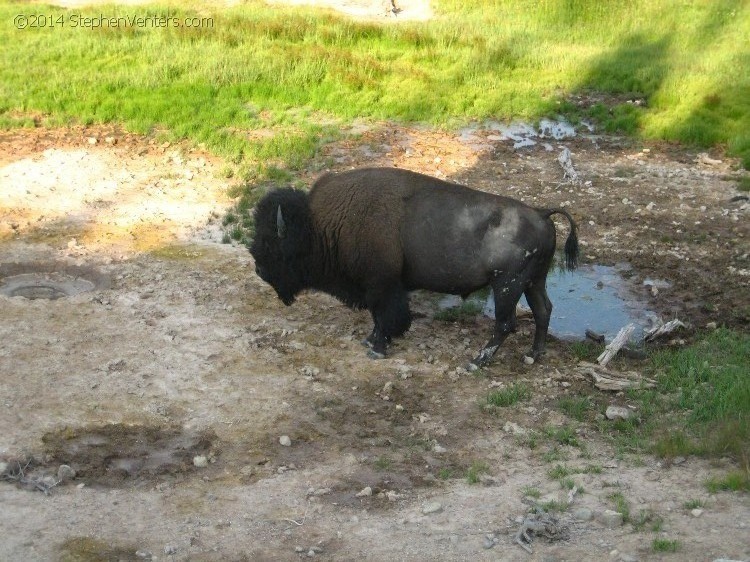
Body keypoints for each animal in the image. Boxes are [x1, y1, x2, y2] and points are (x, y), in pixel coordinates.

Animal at [250, 166, 580, 368]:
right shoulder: (379, 287)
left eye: (272, 243)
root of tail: (541, 213)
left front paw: (377, 348)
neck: (318, 225)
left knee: (506, 323)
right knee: (543, 310)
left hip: (507, 286)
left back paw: (476, 362)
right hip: (533, 281)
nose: (258, 269)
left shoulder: (382, 286)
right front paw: (369, 340)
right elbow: (378, 318)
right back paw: (533, 355)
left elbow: (387, 317)